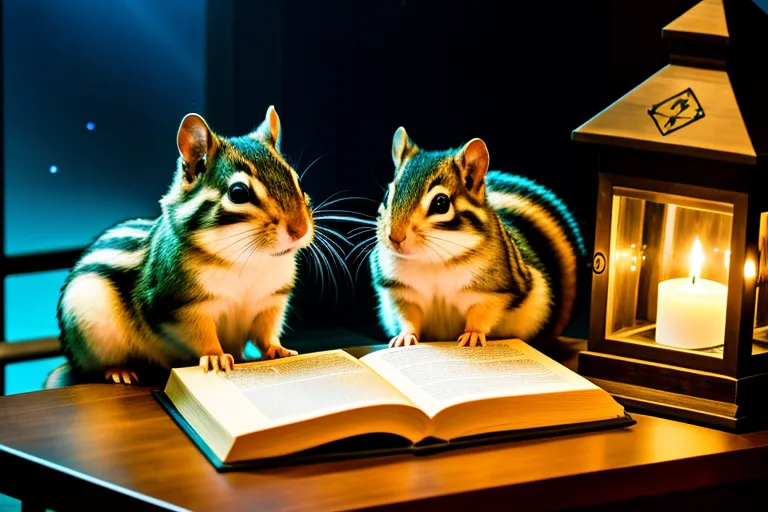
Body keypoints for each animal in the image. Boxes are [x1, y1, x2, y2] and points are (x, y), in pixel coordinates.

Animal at [57, 106, 313, 384]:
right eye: (238, 193)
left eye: (298, 181)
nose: (300, 229)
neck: (248, 260)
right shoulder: (180, 308)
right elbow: (201, 335)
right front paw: (215, 356)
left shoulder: (271, 302)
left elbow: (265, 332)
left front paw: (278, 349)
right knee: (94, 367)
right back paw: (119, 371)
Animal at [370, 127, 586, 348]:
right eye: (386, 196)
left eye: (441, 203)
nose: (394, 237)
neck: (433, 260)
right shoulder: (402, 292)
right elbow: (408, 316)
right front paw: (405, 336)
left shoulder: (492, 293)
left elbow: (482, 313)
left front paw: (472, 333)